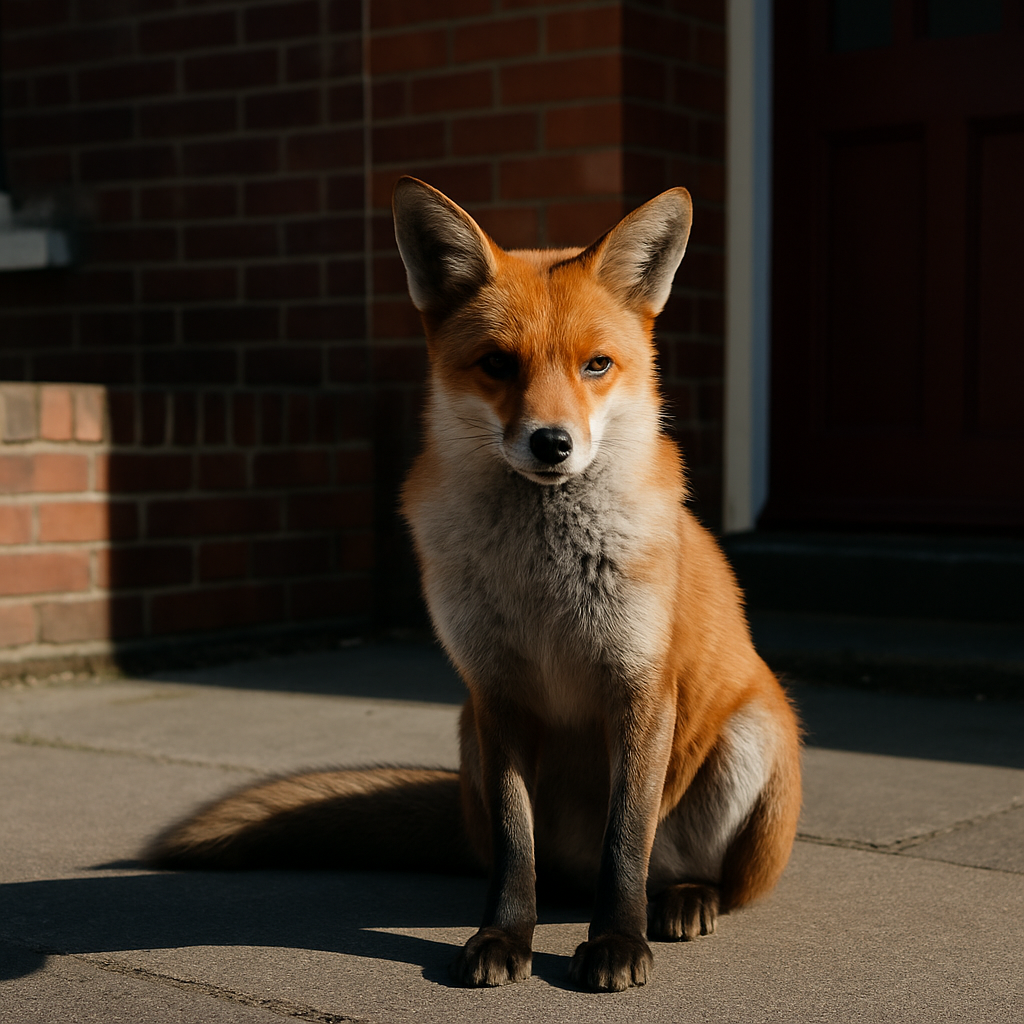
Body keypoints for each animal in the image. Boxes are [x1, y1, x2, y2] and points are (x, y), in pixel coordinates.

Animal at [144, 177, 802, 993]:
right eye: (497, 364)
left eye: (596, 365)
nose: (552, 443)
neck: (541, 576)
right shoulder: (496, 692)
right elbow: (517, 846)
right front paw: (503, 936)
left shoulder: (639, 686)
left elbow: (626, 842)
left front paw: (617, 943)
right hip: (468, 738)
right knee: (545, 867)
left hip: (753, 737)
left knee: (684, 873)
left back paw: (683, 899)